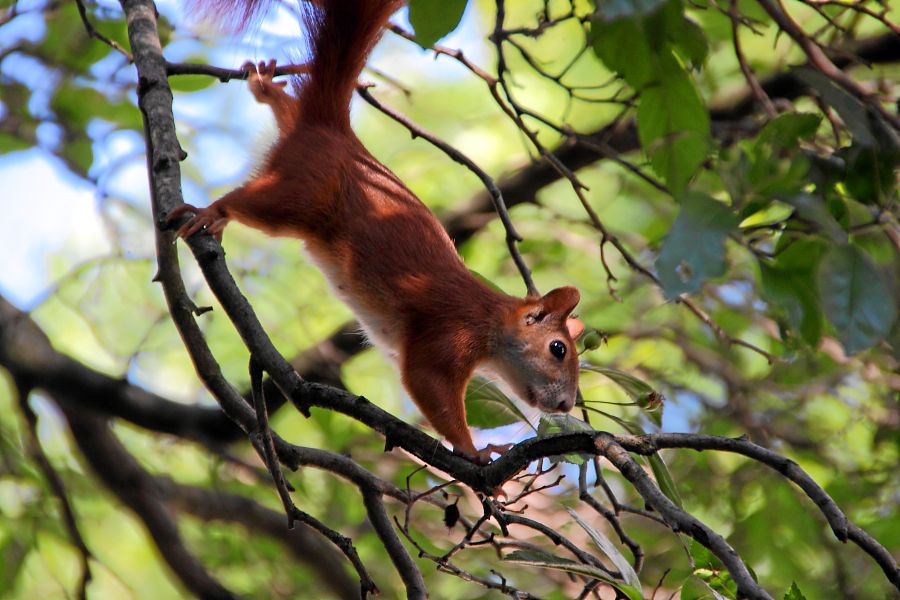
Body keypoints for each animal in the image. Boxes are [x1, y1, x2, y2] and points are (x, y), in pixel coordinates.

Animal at [169, 0, 588, 464]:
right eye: (558, 349)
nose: (566, 404)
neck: (490, 319)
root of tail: (337, 132)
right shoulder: (447, 336)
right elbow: (427, 384)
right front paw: (475, 451)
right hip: (300, 195)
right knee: (251, 203)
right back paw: (212, 211)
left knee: (287, 110)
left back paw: (266, 88)